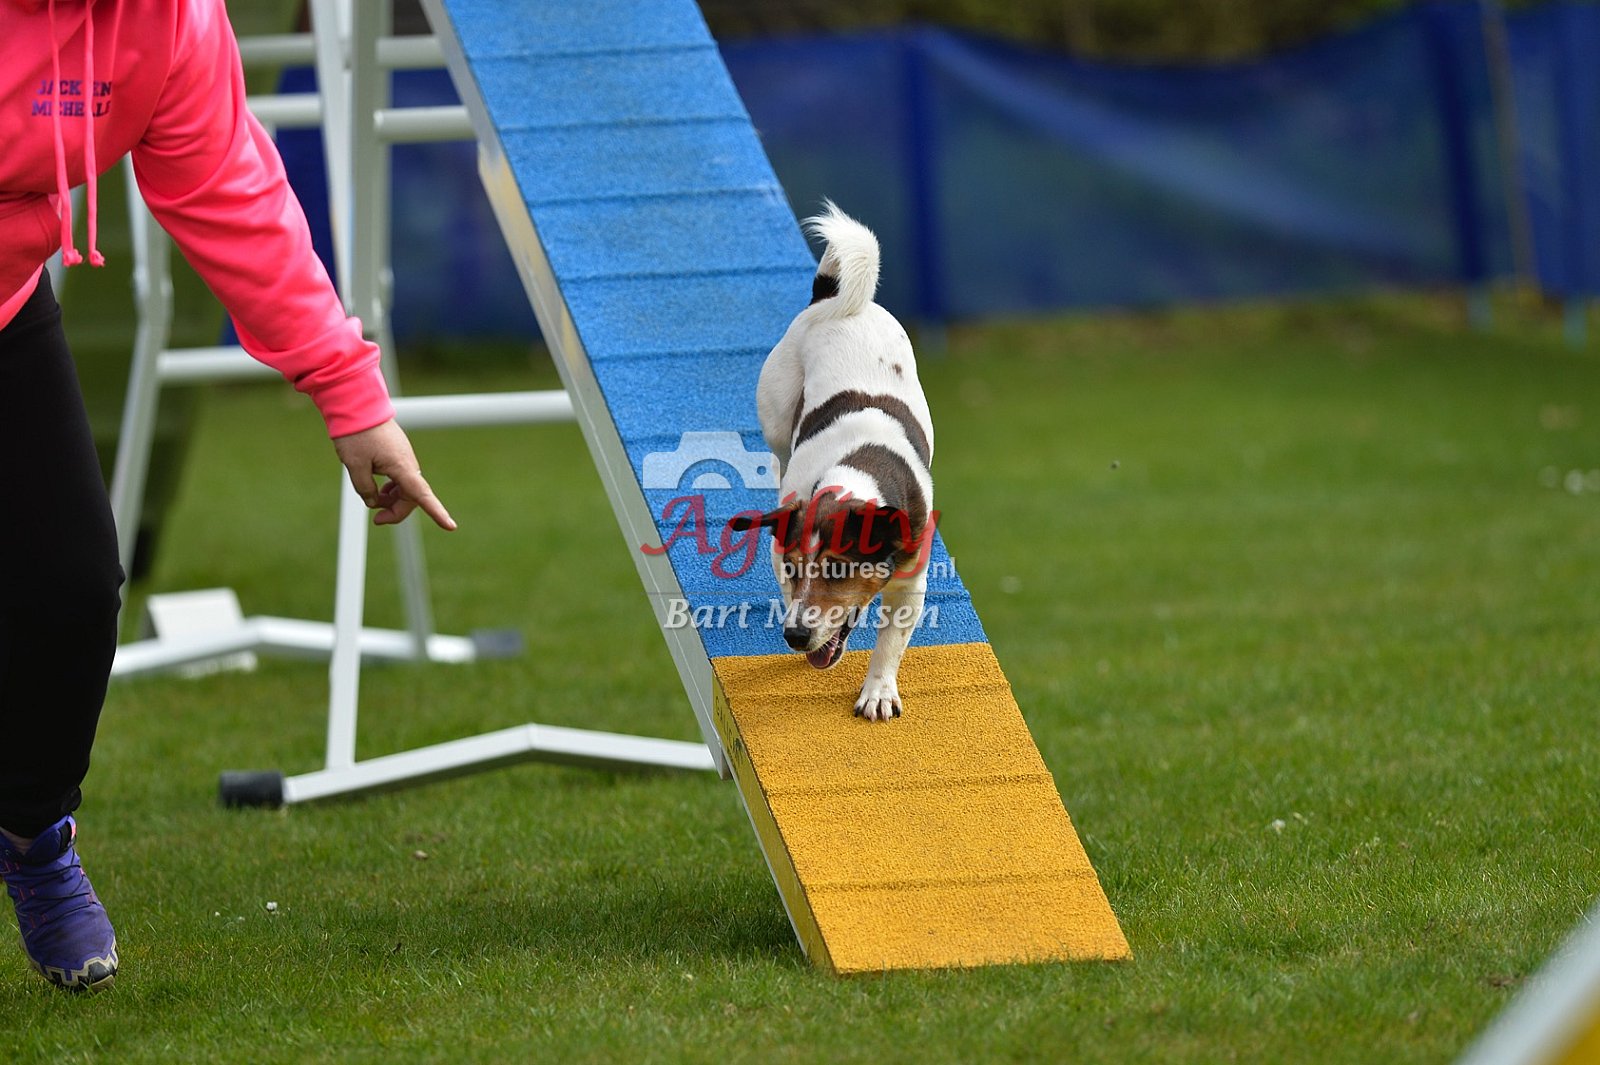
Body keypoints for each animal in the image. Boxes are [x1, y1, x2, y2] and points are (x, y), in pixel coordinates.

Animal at [731, 203, 935, 721]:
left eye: (839, 571)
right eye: (796, 568)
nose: (795, 635)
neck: (856, 470)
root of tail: (834, 299)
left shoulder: (911, 580)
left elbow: (890, 643)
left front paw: (878, 691)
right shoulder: (783, 543)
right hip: (777, 409)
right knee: (779, 448)